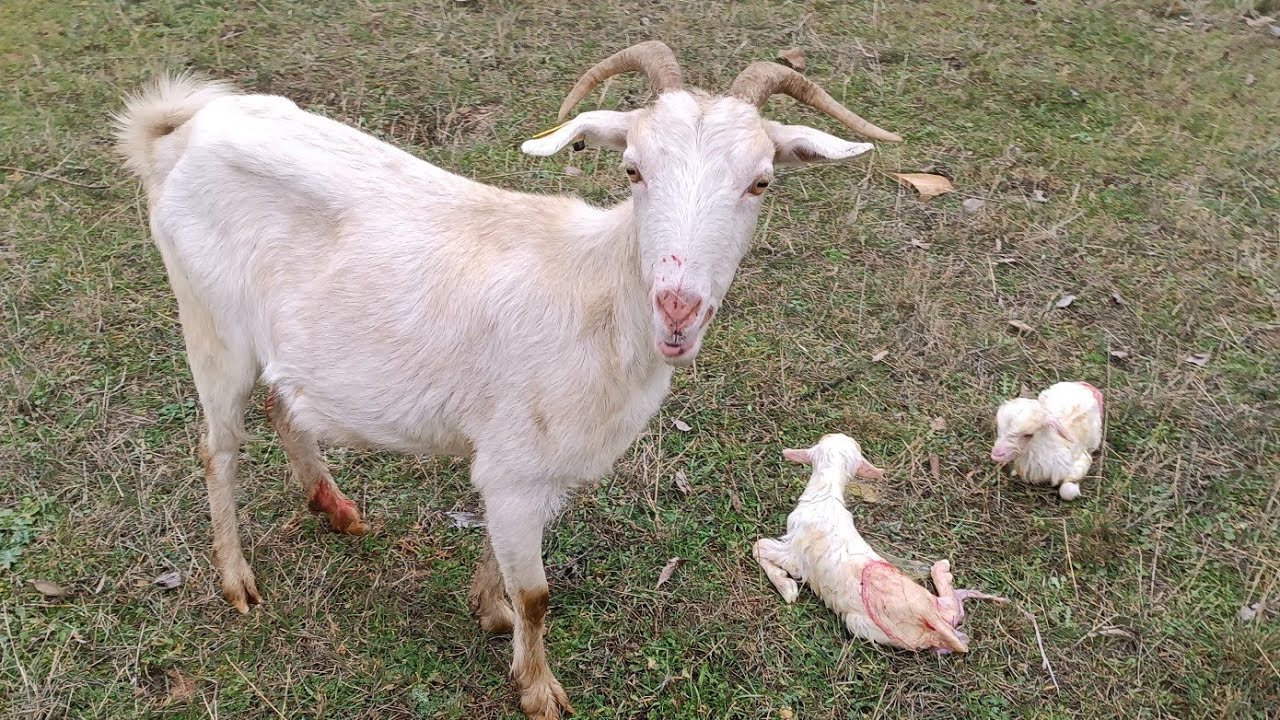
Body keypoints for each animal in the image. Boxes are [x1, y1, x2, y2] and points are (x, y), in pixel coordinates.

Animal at [114, 42, 901, 719]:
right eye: (633, 170)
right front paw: (539, 688)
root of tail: (181, 132)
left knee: (284, 402)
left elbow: (506, 567)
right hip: (210, 324)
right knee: (218, 448)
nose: (677, 306)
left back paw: (334, 507)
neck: (596, 300)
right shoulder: (515, 468)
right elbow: (537, 595)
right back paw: (236, 581)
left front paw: (489, 611)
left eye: (760, 181)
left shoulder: (536, 472)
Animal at [754, 434, 1006, 654]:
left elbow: (759, 546)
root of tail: (929, 616)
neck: (824, 496)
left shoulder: (795, 554)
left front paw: (786, 587)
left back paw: (940, 570)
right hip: (897, 626)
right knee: (951, 618)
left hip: (867, 614)